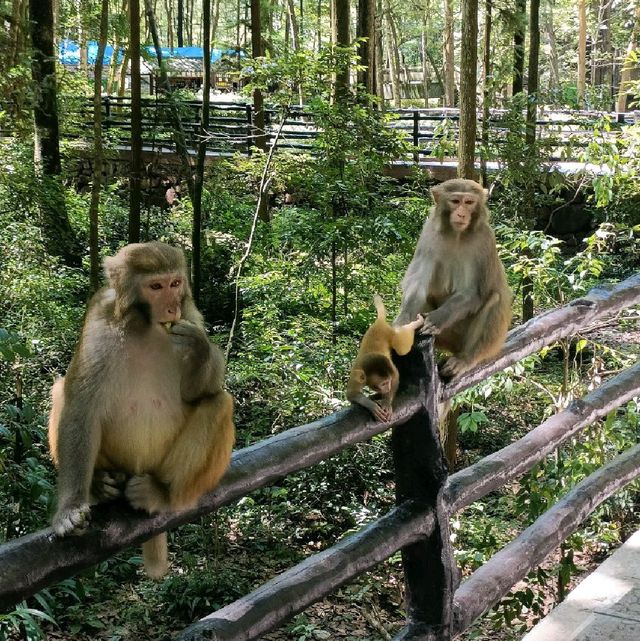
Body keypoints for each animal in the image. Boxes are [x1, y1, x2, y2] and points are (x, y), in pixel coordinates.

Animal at [48, 241, 235, 580]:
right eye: (156, 287)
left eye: (175, 283)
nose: (172, 309)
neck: (145, 325)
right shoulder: (101, 315)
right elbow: (81, 404)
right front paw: (69, 510)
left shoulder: (191, 312)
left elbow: (199, 393)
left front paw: (199, 347)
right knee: (62, 390)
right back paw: (98, 484)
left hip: (166, 466)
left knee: (218, 403)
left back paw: (162, 494)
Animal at [348, 296, 422, 424]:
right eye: (383, 383)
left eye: (388, 382)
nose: (387, 388)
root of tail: (380, 322)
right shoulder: (357, 374)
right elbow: (351, 394)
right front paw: (371, 405)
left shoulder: (390, 368)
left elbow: (396, 377)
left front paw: (387, 402)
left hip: (391, 334)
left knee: (401, 348)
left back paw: (416, 323)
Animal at [398, 178, 512, 378]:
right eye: (455, 201)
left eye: (469, 202)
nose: (461, 213)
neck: (456, 234)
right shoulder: (429, 234)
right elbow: (418, 285)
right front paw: (403, 321)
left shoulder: (485, 240)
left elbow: (472, 293)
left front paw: (436, 319)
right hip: (445, 338)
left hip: (478, 341)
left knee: (495, 299)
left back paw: (465, 359)